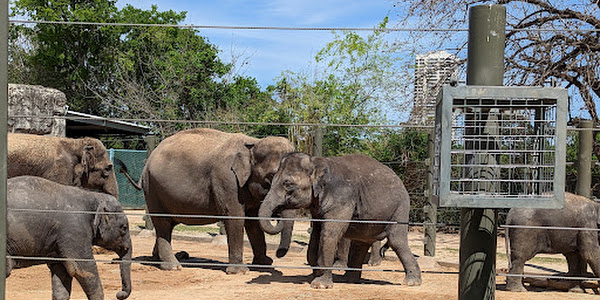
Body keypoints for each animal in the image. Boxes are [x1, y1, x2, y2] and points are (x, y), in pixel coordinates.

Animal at [118, 127, 294, 274]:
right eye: (272, 176)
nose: (277, 255)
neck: (253, 143)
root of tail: (146, 165)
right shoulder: (227, 180)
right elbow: (236, 217)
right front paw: (240, 271)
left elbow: (253, 221)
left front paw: (264, 264)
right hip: (153, 190)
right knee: (163, 224)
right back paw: (173, 266)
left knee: (168, 225)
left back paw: (159, 259)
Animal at [258, 154, 422, 290]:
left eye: (288, 184)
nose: (277, 215)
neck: (317, 162)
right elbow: (316, 234)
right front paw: (314, 276)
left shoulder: (342, 199)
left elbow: (329, 234)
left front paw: (319, 285)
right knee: (360, 244)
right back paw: (349, 280)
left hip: (400, 209)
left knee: (396, 241)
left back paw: (412, 282)